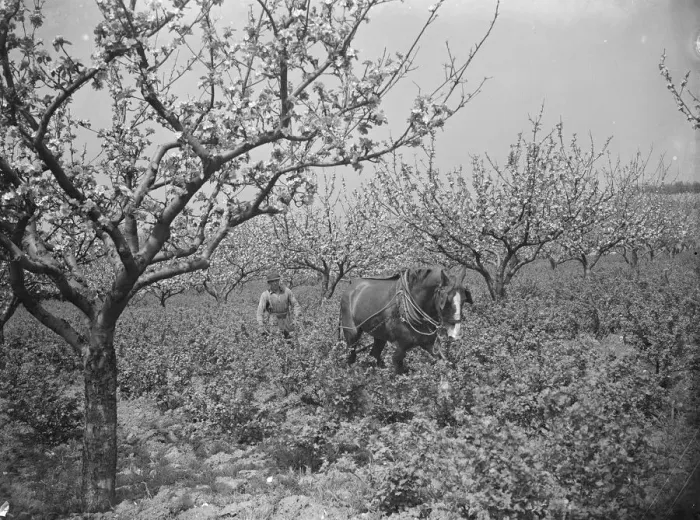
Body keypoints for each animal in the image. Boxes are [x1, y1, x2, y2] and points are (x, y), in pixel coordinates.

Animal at [340, 266, 472, 374]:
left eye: (464, 299)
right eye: (446, 301)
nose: (456, 334)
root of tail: (352, 285)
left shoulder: (429, 344)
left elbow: (445, 365)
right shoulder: (401, 348)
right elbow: (398, 372)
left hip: (379, 335)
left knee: (374, 354)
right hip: (352, 333)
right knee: (351, 356)